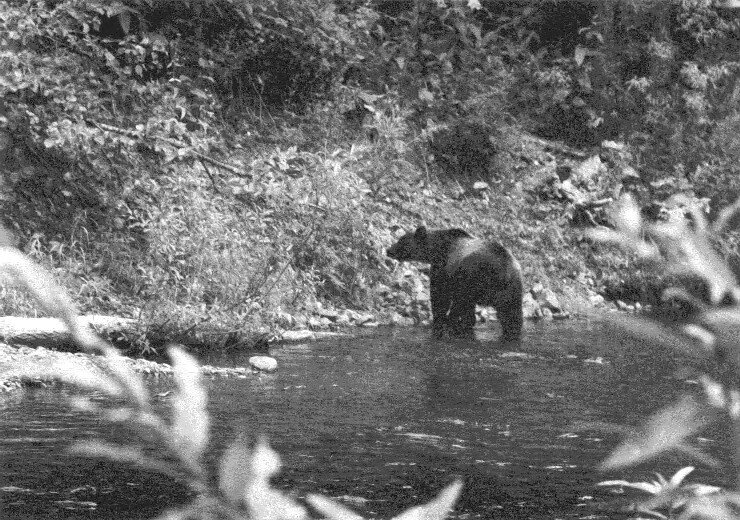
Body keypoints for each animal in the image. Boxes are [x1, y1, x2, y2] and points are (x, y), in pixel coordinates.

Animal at [388, 224, 520, 340]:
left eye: (401, 240)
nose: (389, 250)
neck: (436, 249)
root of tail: (504, 271)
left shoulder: (443, 268)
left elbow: (440, 297)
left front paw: (439, 320)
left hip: (474, 278)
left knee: (461, 302)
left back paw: (452, 322)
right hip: (510, 290)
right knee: (511, 315)